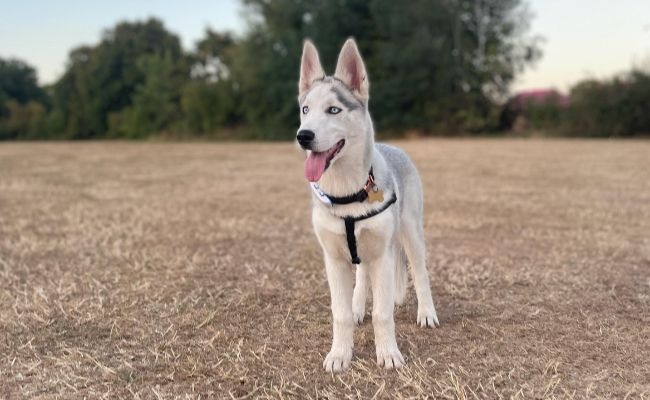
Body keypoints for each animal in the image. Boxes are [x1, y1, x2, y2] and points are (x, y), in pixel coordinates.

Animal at [296, 38, 438, 372]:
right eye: (305, 109)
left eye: (333, 110)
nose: (303, 136)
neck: (348, 192)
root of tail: (394, 147)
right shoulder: (333, 259)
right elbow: (341, 313)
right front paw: (340, 354)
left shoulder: (383, 257)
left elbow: (383, 313)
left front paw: (388, 353)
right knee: (361, 277)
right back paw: (358, 305)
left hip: (411, 234)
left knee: (420, 274)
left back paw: (427, 312)